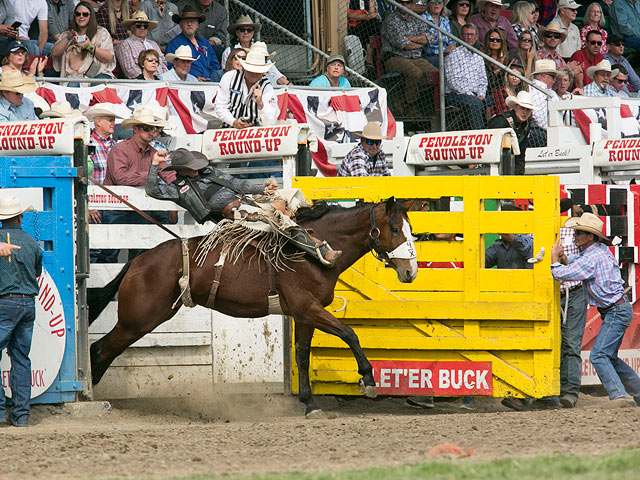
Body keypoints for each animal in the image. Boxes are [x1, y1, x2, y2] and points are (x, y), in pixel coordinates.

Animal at [87, 197, 418, 418]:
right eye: (395, 228)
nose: (410, 272)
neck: (310, 252)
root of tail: (137, 261)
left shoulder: (305, 315)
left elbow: (302, 356)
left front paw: (310, 404)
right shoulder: (308, 308)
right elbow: (350, 334)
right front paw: (369, 381)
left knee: (103, 350)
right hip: (138, 320)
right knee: (101, 349)